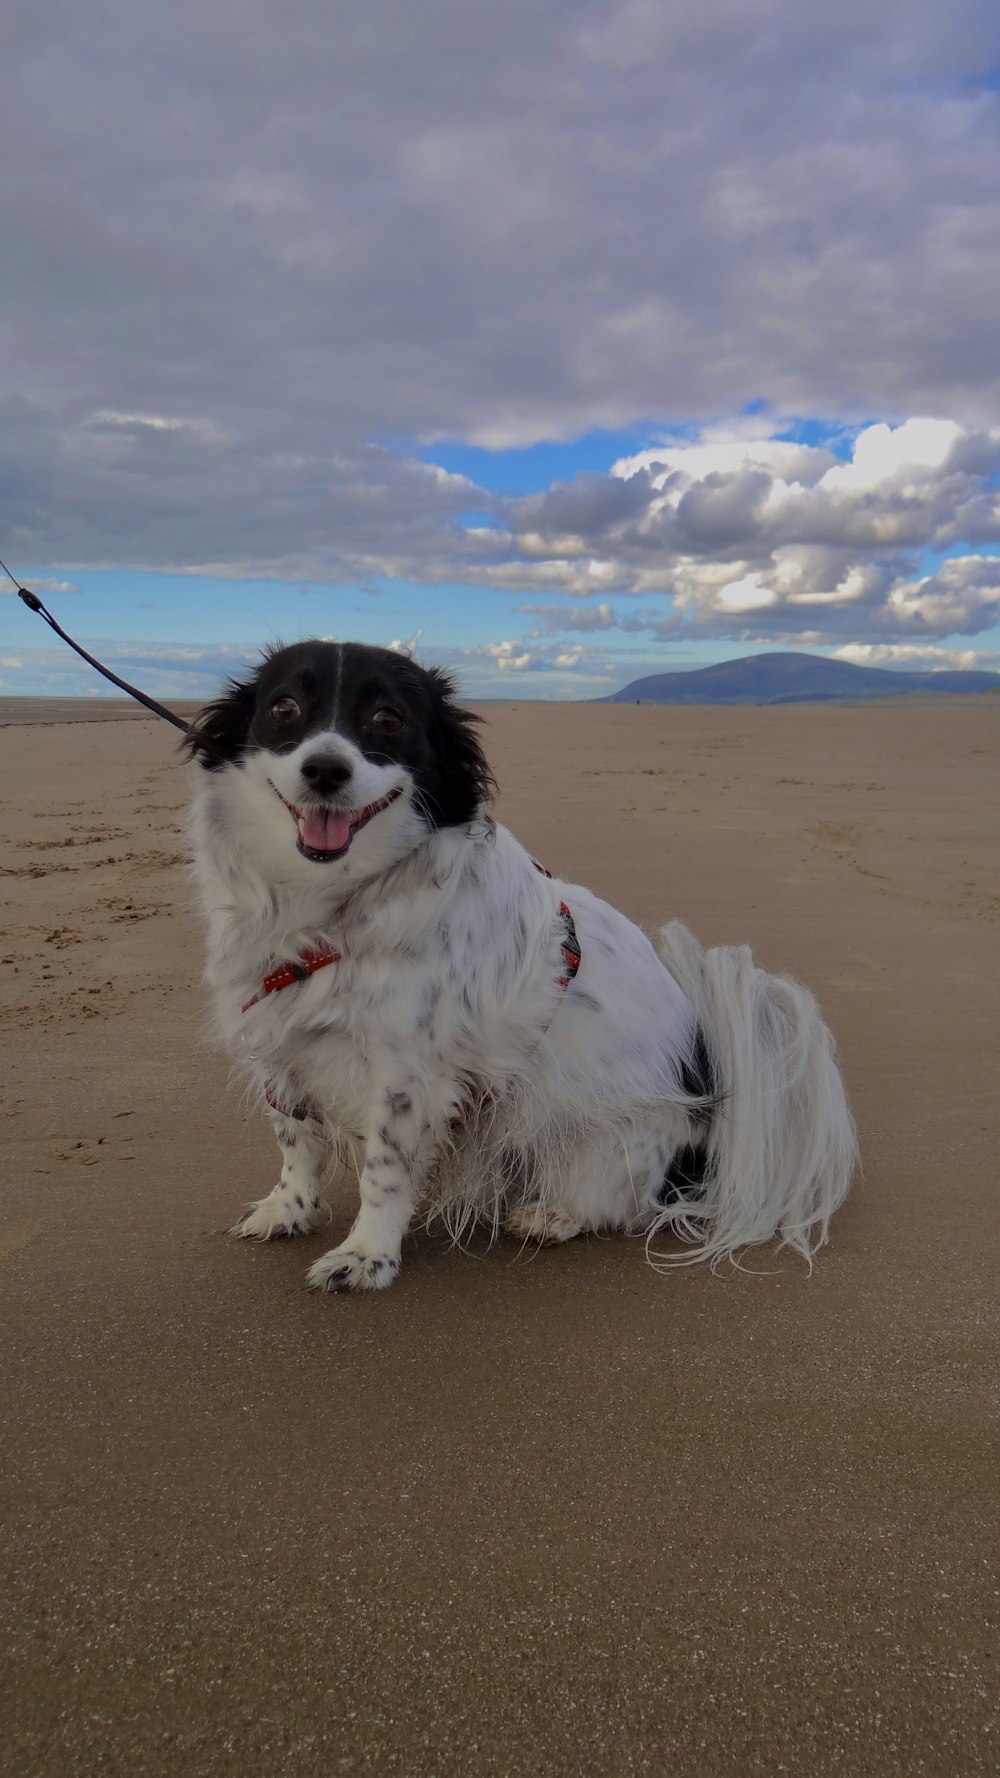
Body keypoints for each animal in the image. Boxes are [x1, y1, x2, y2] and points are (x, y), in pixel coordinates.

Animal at [183, 640, 854, 1294]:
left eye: (388, 720)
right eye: (285, 708)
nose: (325, 770)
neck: (333, 903)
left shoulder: (405, 1077)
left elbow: (383, 1171)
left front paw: (367, 1256)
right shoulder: (278, 1033)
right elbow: (294, 1139)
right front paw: (289, 1209)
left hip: (598, 1145)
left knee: (625, 1205)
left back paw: (552, 1216)